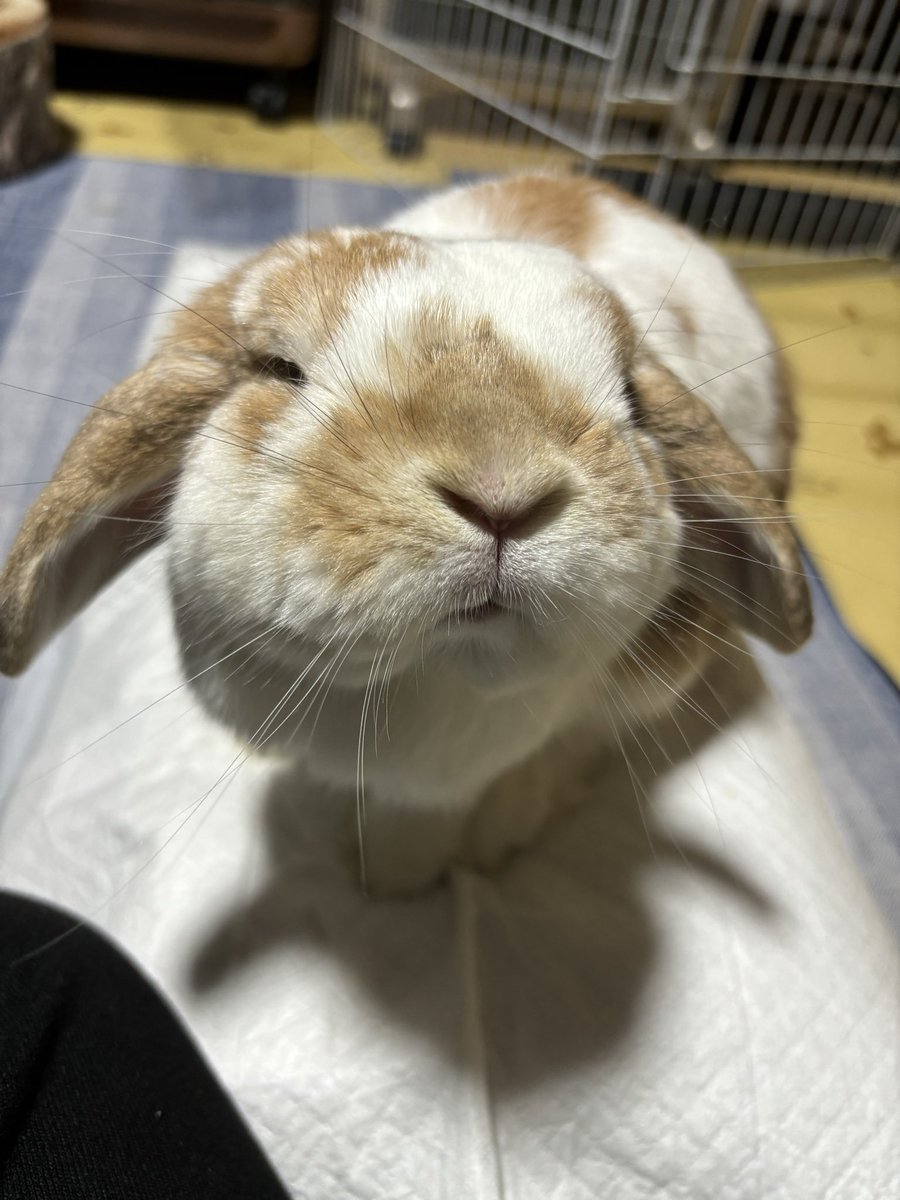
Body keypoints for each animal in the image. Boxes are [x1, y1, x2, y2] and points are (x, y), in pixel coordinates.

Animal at [0, 172, 811, 894]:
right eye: (281, 368)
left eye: (633, 399)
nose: (503, 493)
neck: (431, 673)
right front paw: (371, 860)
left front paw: (415, 874)